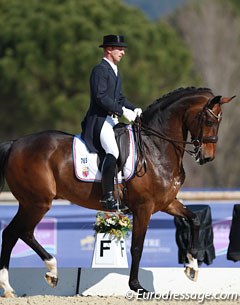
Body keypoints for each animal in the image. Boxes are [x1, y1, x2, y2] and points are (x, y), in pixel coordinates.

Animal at [0, 86, 234, 296]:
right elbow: (137, 247)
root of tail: (15, 143)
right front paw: (137, 287)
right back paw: (49, 272)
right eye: (209, 121)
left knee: (13, 233)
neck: (155, 147)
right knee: (20, 232)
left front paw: (192, 267)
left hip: (29, 203)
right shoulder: (144, 207)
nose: (207, 157)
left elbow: (194, 219)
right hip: (38, 202)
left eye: (219, 121)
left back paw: (14, 286)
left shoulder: (166, 202)